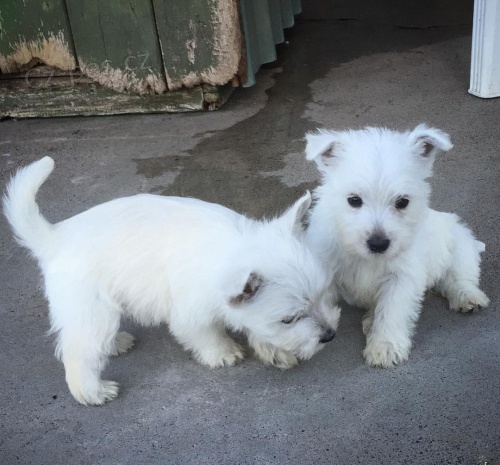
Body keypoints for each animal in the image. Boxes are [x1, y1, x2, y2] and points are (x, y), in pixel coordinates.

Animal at [3, 158, 340, 404]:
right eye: (289, 319)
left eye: (323, 295)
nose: (329, 336)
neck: (228, 249)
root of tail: (54, 236)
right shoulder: (190, 313)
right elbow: (206, 334)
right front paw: (223, 353)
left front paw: (275, 350)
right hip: (91, 310)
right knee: (79, 351)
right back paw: (93, 392)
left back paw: (117, 343)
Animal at [304, 125, 488, 368]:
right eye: (354, 200)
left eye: (402, 202)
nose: (378, 244)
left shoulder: (402, 276)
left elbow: (393, 310)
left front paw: (385, 346)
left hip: (459, 246)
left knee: (459, 278)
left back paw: (468, 298)